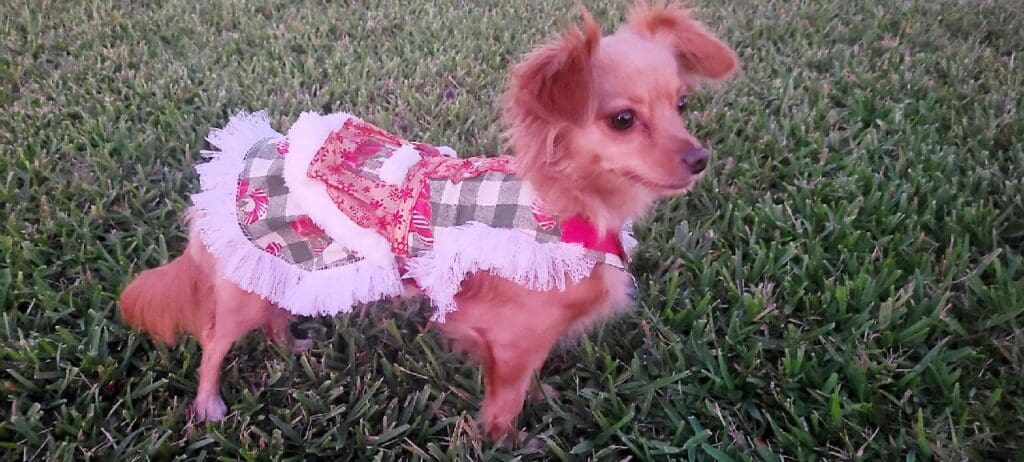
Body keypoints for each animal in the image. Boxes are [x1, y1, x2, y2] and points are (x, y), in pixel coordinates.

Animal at [119, 2, 737, 440]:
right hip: (247, 278)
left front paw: (541, 402)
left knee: (273, 305)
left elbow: (525, 384)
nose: (699, 158)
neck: (569, 207)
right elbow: (505, 401)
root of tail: (244, 157)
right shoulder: (510, 338)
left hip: (285, 265)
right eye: (623, 120)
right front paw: (509, 441)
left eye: (682, 105)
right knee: (214, 339)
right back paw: (208, 404)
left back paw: (287, 344)